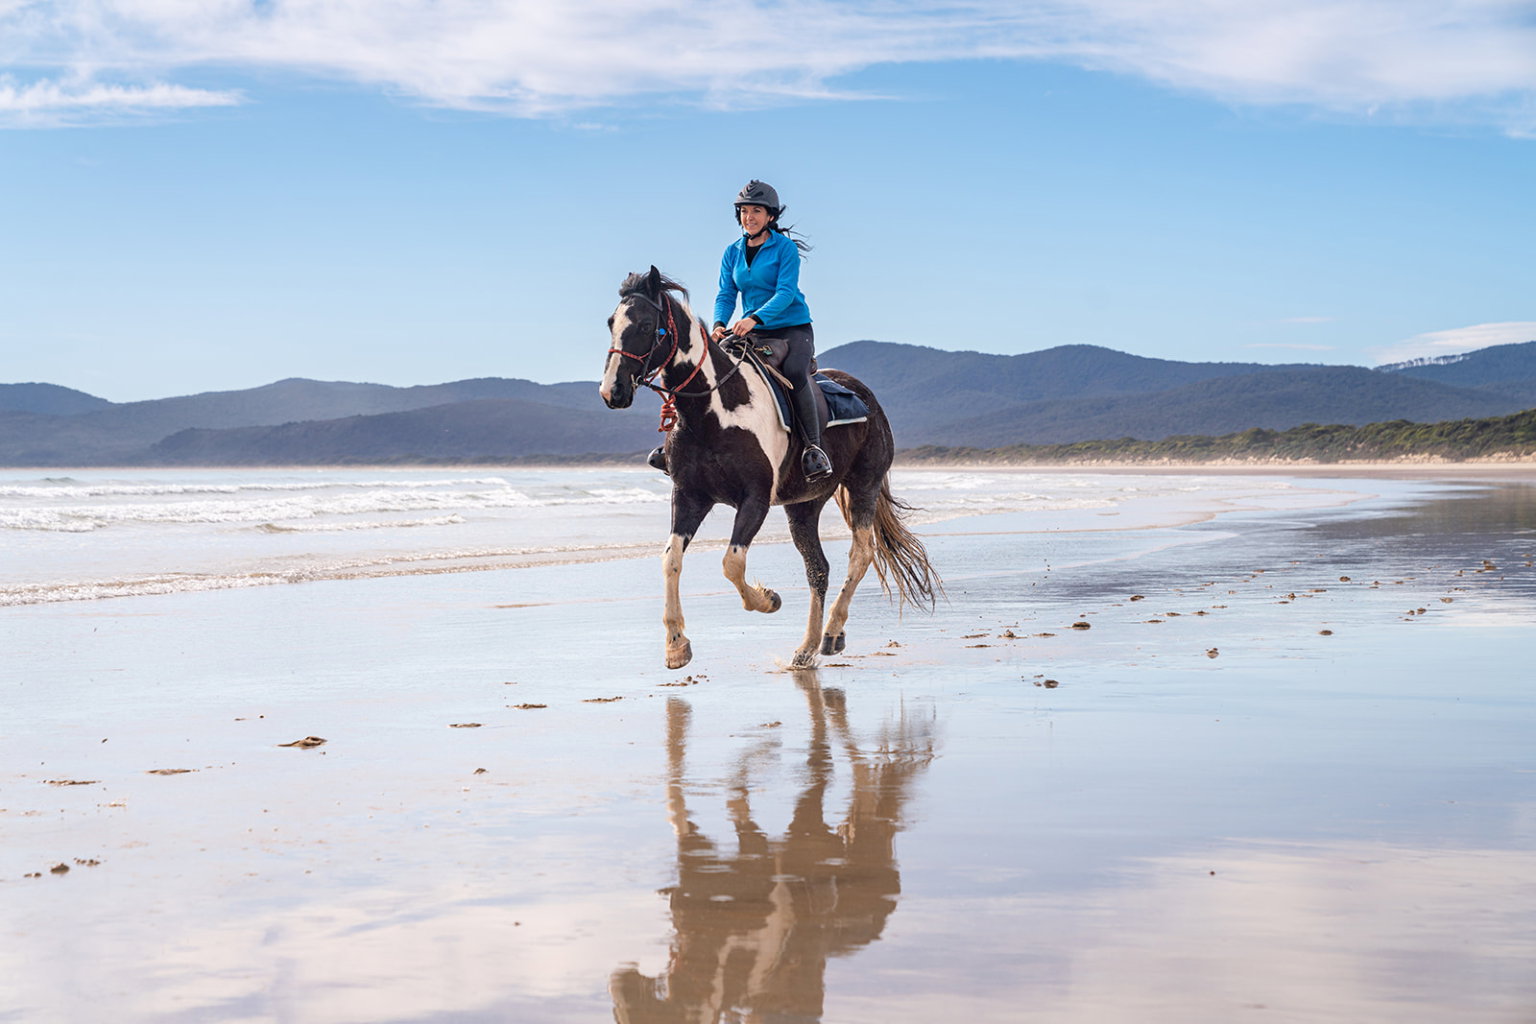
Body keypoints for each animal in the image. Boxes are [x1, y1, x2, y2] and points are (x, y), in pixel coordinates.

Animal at [599, 265, 939, 669]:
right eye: (611, 323)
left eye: (646, 324)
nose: (612, 392)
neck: (714, 412)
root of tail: (866, 396)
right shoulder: (689, 496)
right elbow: (671, 560)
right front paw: (676, 646)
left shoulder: (755, 499)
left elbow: (731, 562)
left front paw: (768, 599)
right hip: (803, 506)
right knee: (818, 569)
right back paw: (808, 647)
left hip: (863, 486)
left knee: (860, 555)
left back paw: (831, 633)